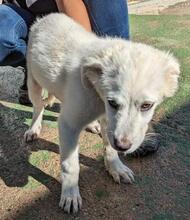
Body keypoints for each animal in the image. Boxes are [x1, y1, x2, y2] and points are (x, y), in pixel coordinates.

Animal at [24, 13, 180, 213]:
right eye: (112, 102)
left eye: (147, 105)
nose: (123, 146)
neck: (96, 93)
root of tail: (46, 17)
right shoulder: (68, 124)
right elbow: (71, 164)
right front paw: (70, 194)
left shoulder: (109, 122)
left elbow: (110, 149)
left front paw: (116, 168)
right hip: (33, 81)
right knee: (38, 107)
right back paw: (34, 129)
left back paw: (92, 125)